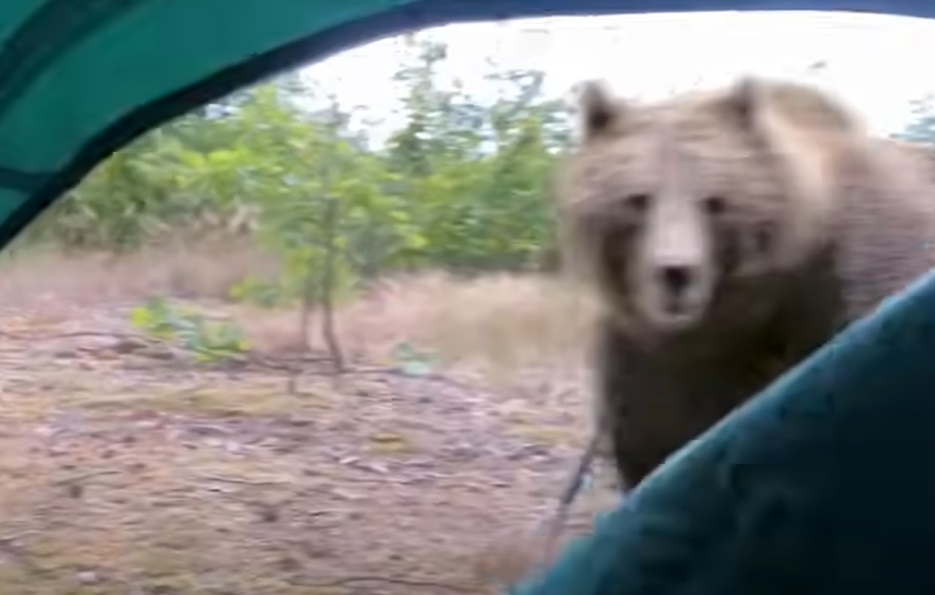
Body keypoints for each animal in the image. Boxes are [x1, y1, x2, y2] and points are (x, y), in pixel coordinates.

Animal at [552, 76, 935, 494]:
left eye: (714, 202)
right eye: (637, 199)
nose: (675, 272)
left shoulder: (855, 281)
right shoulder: (656, 362)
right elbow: (655, 441)